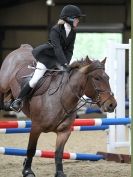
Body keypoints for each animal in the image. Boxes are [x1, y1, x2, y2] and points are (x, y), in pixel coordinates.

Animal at [0, 43, 116, 177]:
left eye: (108, 78)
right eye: (96, 78)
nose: (112, 104)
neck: (62, 98)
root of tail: (22, 47)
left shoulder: (64, 132)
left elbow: (59, 153)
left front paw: (59, 172)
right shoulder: (36, 128)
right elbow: (31, 149)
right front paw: (27, 171)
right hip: (3, 85)